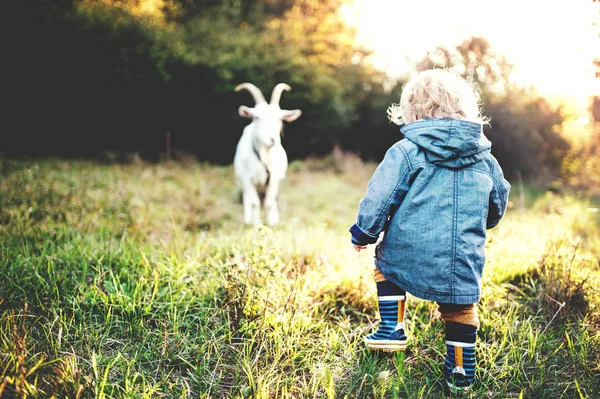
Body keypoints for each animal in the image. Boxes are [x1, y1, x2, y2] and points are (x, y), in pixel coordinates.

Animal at [233, 83, 300, 227]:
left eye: (280, 118)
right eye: (256, 117)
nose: (273, 139)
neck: (264, 156)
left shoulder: (274, 178)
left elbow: (269, 202)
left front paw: (272, 224)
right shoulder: (247, 179)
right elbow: (255, 203)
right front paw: (256, 224)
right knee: (247, 198)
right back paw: (248, 220)